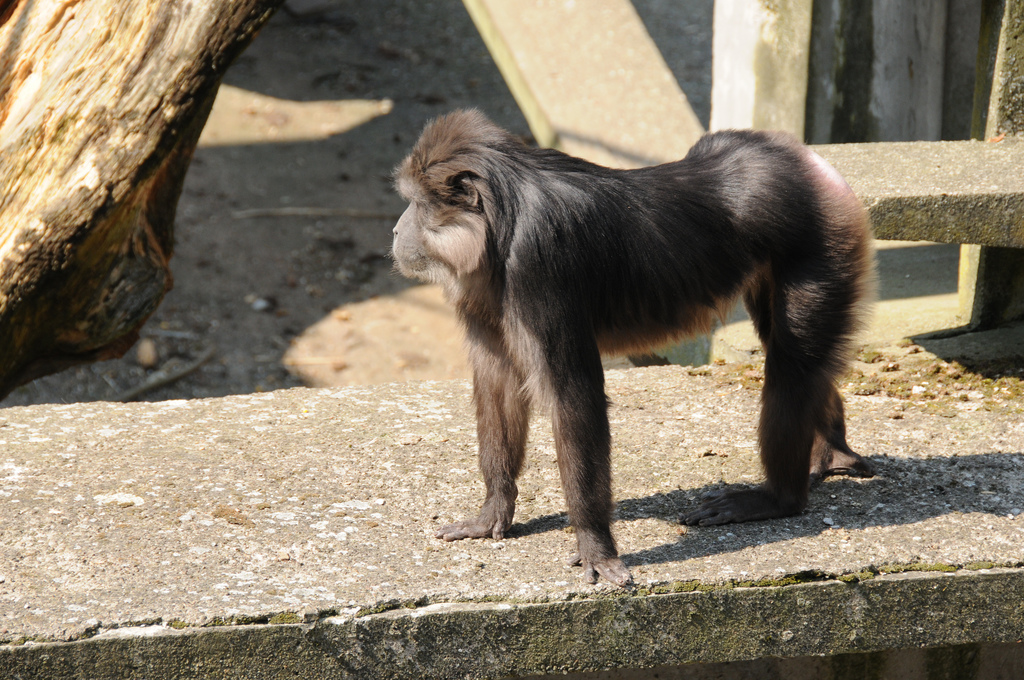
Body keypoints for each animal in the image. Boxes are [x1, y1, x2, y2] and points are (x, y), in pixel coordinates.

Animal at [391, 109, 874, 587]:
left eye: (416, 202)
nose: (397, 229)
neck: (502, 219)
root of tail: (803, 162)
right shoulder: (483, 288)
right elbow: (499, 383)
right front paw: (492, 511)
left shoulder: (537, 265)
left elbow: (574, 397)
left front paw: (595, 545)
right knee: (797, 357)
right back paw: (833, 451)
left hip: (822, 244)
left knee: (792, 368)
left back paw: (779, 499)